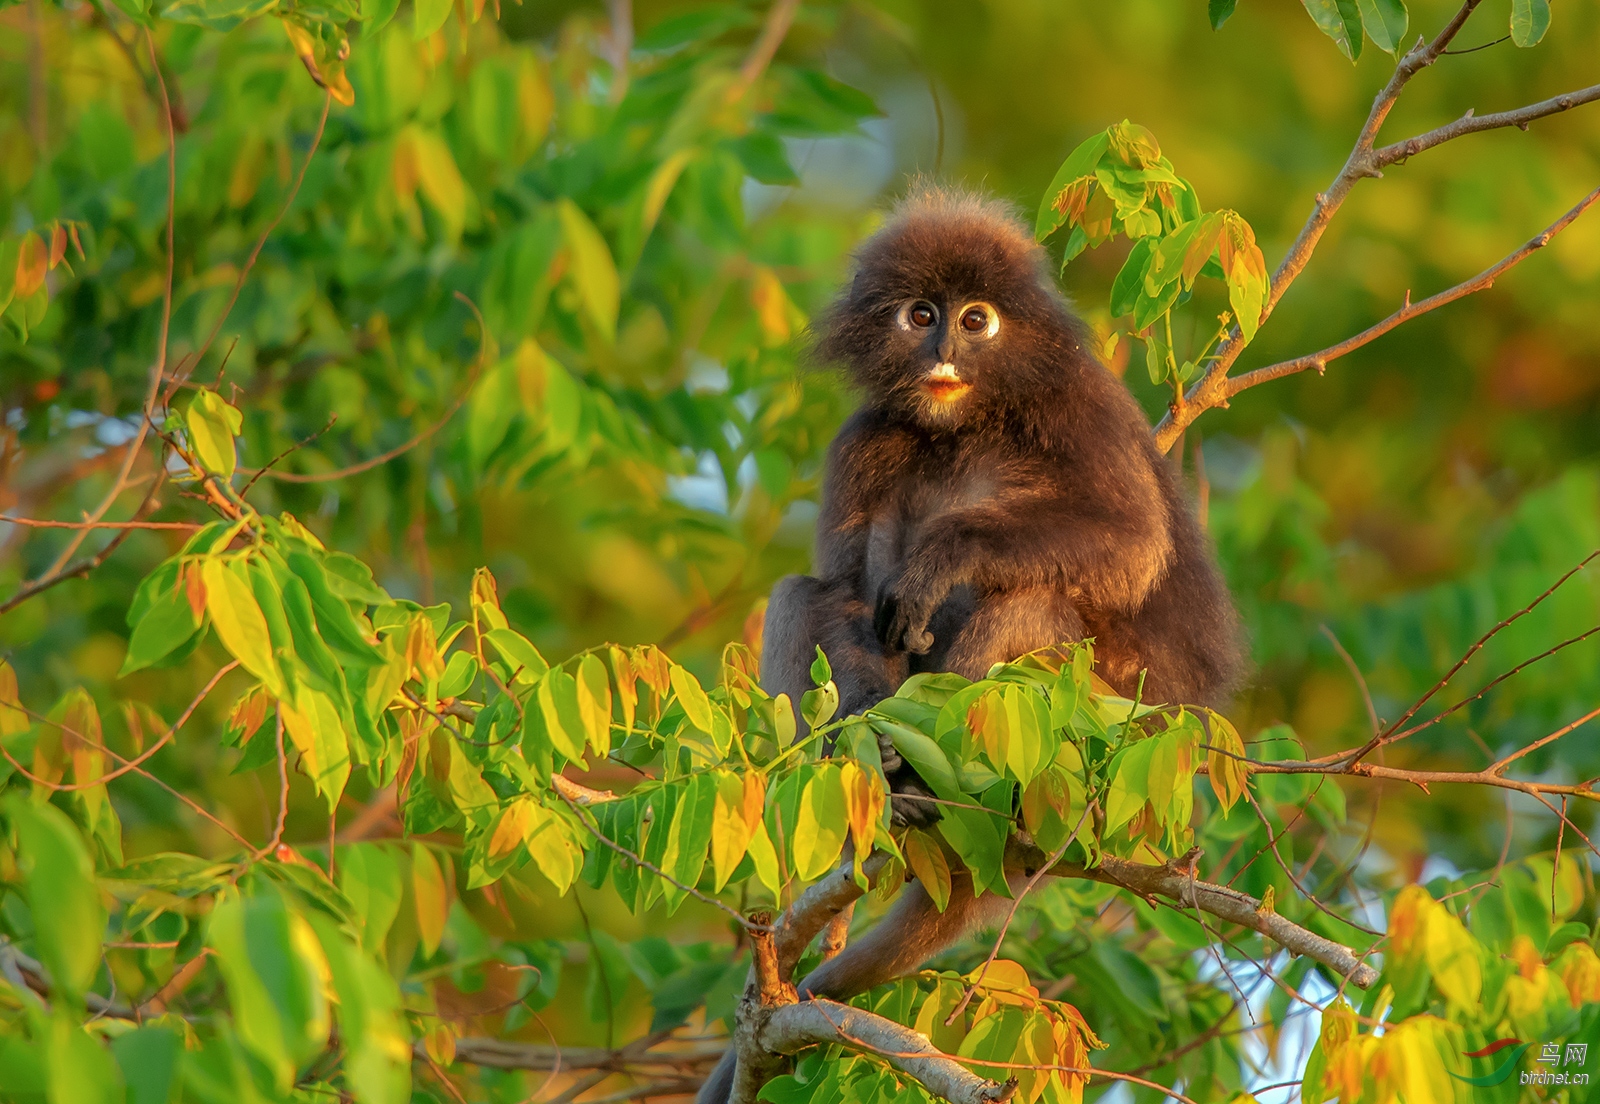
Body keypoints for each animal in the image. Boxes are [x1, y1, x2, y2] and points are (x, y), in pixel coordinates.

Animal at [697, 188, 1235, 1100]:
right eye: (922, 315)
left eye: (976, 320)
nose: (945, 348)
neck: (967, 420)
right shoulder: (866, 435)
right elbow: (844, 590)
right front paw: (872, 740)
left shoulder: (1080, 403)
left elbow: (1129, 543)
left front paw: (943, 557)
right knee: (802, 593)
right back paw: (886, 790)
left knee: (1033, 601)